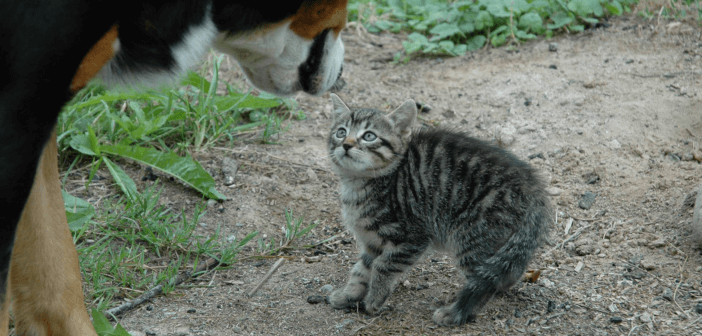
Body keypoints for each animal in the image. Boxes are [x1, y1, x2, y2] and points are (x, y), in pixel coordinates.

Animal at [328, 94, 556, 326]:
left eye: (369, 136)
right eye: (341, 132)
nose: (346, 145)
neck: (358, 184)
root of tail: (533, 189)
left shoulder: (413, 236)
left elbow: (383, 265)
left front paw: (375, 298)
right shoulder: (372, 241)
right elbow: (361, 269)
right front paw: (348, 294)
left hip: (473, 236)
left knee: (483, 282)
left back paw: (455, 314)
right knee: (508, 270)